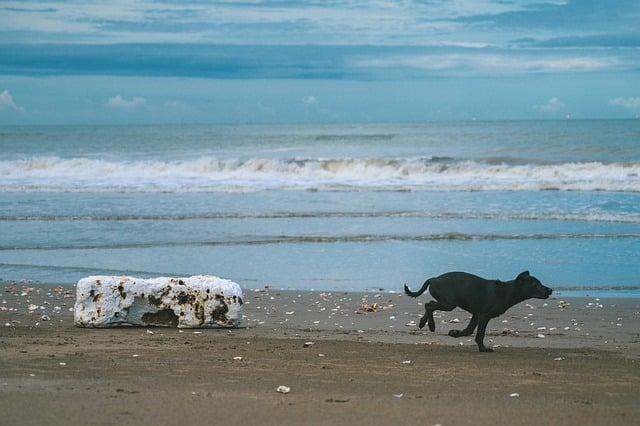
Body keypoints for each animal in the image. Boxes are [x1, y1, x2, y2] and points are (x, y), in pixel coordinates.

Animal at [404, 272, 552, 352]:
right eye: (535, 285)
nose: (550, 290)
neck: (506, 291)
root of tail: (433, 279)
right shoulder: (484, 316)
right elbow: (480, 334)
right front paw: (483, 349)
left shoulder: (476, 315)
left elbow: (469, 330)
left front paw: (455, 333)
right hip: (449, 303)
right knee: (429, 305)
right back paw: (431, 325)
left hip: (446, 302)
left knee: (429, 304)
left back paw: (423, 322)